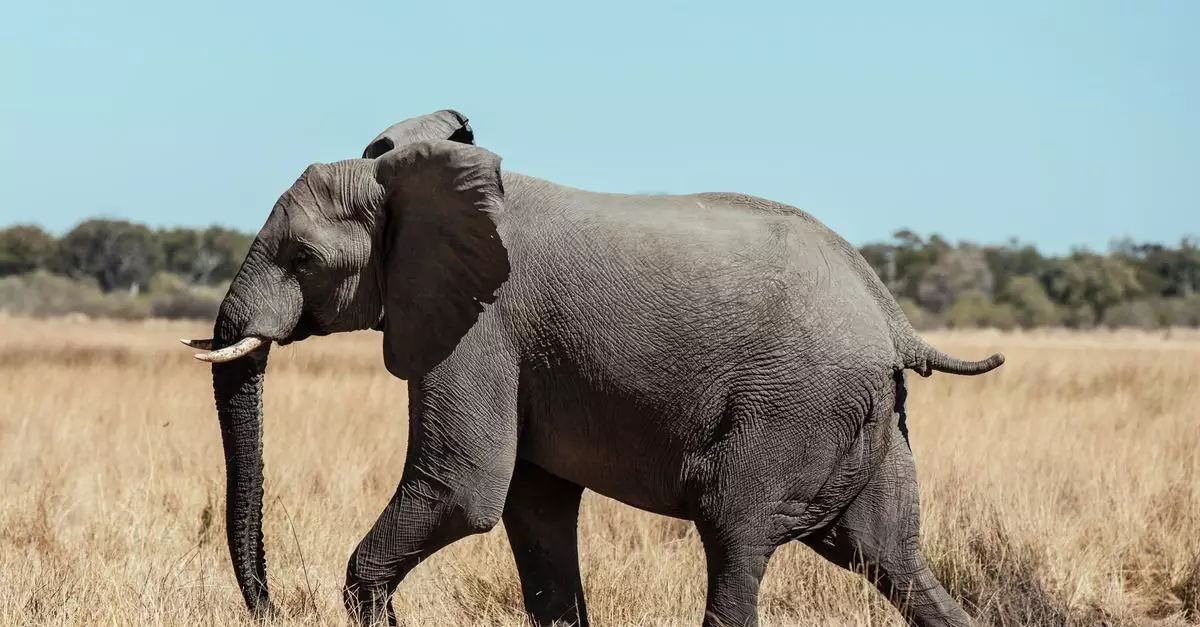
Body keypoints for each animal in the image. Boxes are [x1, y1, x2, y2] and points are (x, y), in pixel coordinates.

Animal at [181, 109, 1004, 627]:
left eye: (302, 258)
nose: (269, 607)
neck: (414, 182)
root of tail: (891, 317)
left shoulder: (481, 324)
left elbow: (463, 489)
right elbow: (535, 510)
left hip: (794, 410)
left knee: (735, 539)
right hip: (867, 423)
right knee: (892, 558)